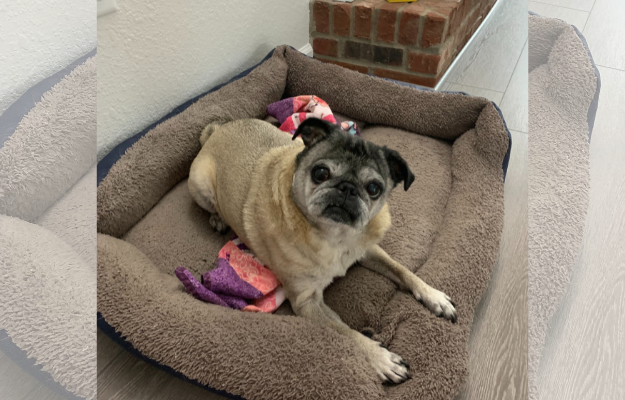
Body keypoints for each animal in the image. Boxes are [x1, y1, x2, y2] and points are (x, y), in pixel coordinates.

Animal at [188, 117, 457, 383]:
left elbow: (402, 270)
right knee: (210, 205)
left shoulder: (366, 249)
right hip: (201, 187)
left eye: (373, 189)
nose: (347, 188)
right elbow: (347, 331)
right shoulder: (307, 302)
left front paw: (433, 295)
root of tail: (217, 130)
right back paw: (217, 219)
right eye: (320, 173)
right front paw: (381, 358)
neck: (334, 236)